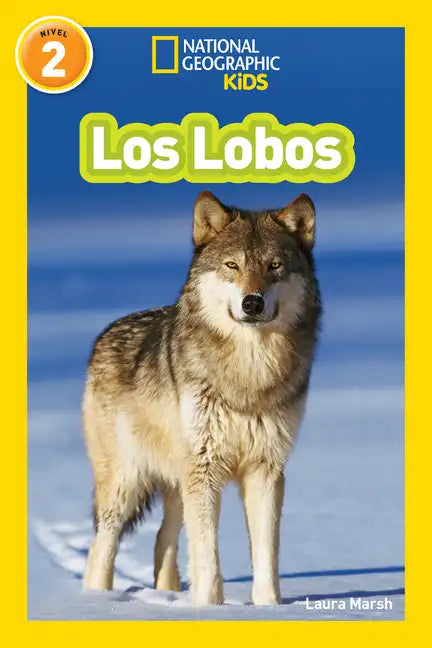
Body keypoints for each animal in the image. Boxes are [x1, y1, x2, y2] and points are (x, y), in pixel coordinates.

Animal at [82, 191, 321, 606]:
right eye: (232, 265)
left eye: (274, 266)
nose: (252, 303)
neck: (248, 373)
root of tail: (105, 333)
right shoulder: (205, 469)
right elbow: (208, 557)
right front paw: (209, 608)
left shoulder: (265, 469)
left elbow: (266, 556)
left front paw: (269, 608)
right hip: (126, 483)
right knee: (101, 547)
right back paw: (96, 602)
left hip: (177, 484)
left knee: (164, 540)